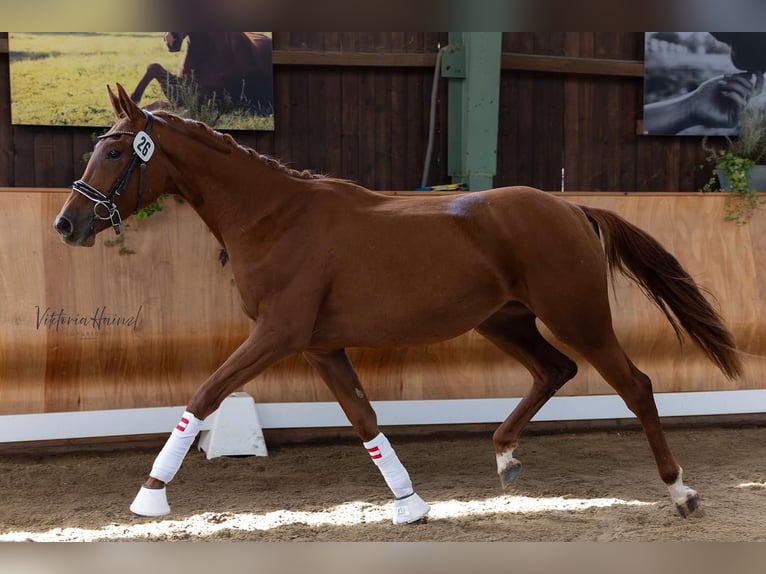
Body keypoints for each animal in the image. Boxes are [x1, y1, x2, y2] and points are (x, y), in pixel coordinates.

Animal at [51, 84, 740, 528]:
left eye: (114, 151)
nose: (67, 224)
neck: (274, 217)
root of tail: (571, 208)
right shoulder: (320, 346)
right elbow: (363, 418)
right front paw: (410, 505)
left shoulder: (278, 335)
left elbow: (203, 395)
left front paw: (150, 496)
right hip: (503, 320)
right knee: (555, 370)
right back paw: (506, 456)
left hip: (580, 318)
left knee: (637, 385)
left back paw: (681, 493)